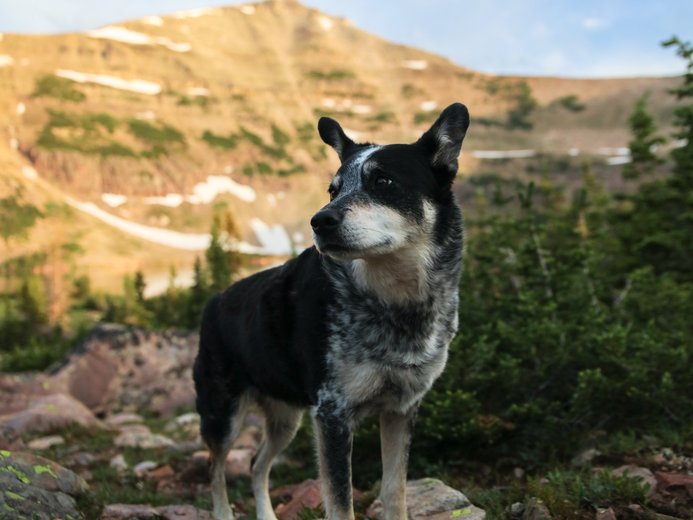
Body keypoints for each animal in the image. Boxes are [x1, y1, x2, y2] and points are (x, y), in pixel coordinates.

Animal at [195, 102, 470, 520]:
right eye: (333, 189)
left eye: (383, 181)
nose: (320, 220)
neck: (396, 301)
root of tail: (213, 303)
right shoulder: (332, 414)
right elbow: (340, 503)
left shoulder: (401, 409)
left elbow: (395, 491)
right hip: (223, 413)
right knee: (216, 469)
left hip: (286, 418)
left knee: (257, 464)